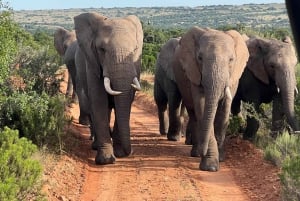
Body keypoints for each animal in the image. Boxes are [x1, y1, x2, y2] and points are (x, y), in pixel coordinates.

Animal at [73, 12, 142, 165]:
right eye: (102, 50)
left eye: (135, 50)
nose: (130, 152)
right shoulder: (92, 63)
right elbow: (99, 102)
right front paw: (106, 160)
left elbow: (126, 101)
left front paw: (120, 153)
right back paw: (95, 145)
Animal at [172, 26, 250, 171]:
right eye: (200, 58)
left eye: (231, 60)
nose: (203, 151)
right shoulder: (194, 73)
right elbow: (202, 108)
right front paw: (210, 167)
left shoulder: (233, 78)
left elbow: (223, 113)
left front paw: (220, 158)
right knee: (194, 115)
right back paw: (196, 153)